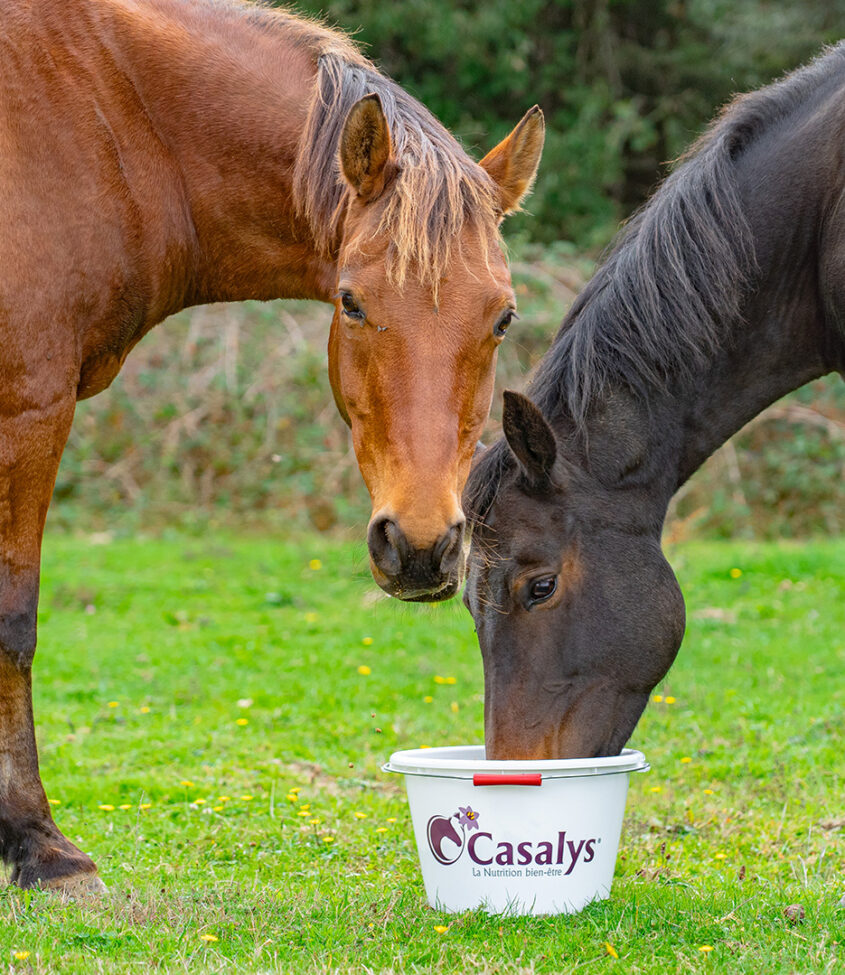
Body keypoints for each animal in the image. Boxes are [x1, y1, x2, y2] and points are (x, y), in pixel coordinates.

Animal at [0, 0, 544, 893]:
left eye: (501, 316)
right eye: (352, 303)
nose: (421, 545)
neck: (108, 111)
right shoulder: (30, 411)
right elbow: (15, 623)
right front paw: (39, 843)